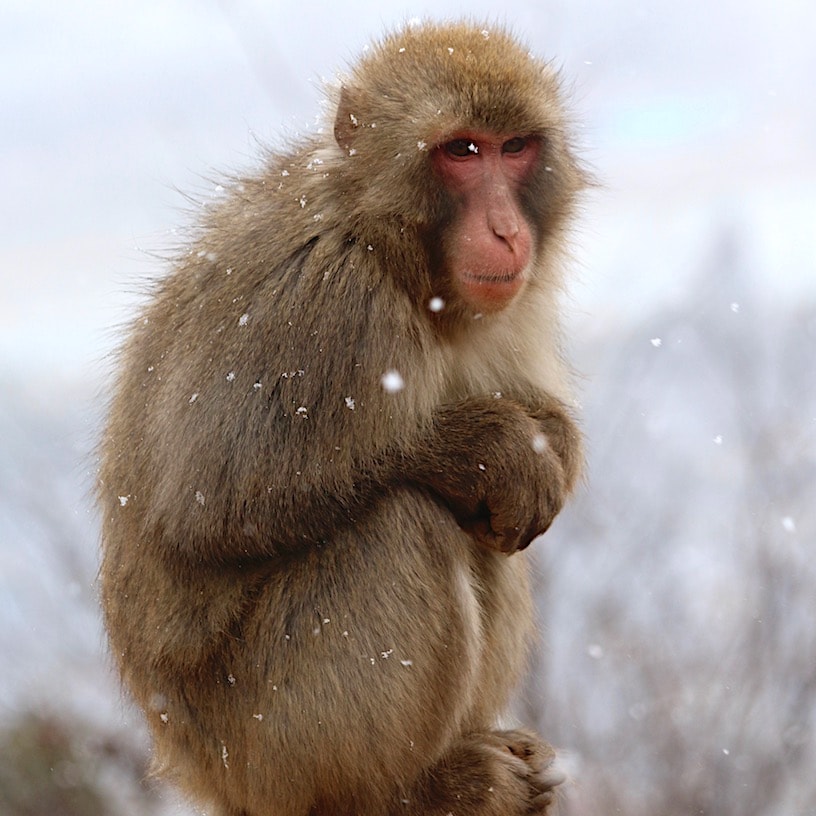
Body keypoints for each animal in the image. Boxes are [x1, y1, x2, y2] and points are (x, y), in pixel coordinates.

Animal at [99, 20, 585, 816]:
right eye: (461, 150)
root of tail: (197, 768)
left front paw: (549, 445)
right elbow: (218, 506)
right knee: (404, 523)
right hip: (266, 736)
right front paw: (490, 446)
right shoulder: (325, 304)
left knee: (483, 534)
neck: (392, 254)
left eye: (514, 147)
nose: (508, 232)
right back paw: (419, 788)